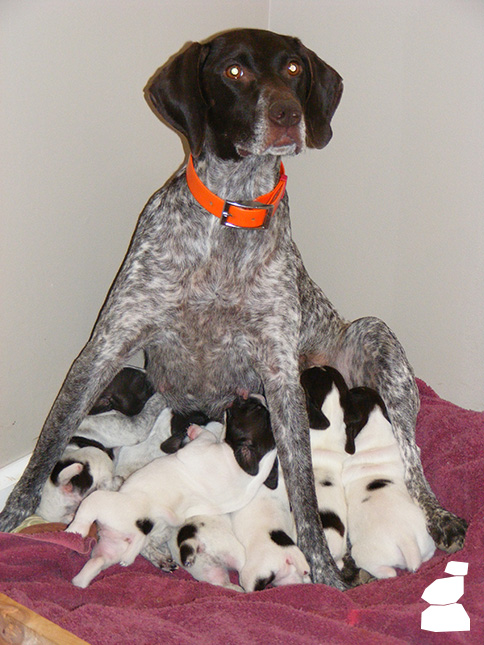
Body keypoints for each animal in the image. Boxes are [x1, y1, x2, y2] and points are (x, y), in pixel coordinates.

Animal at [342, 388, 436, 580]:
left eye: (350, 394)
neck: (374, 425)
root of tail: (406, 538)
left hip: (364, 555)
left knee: (388, 572)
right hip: (427, 541)